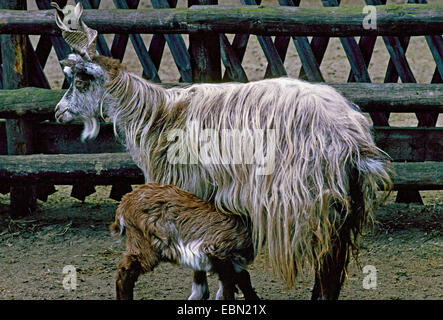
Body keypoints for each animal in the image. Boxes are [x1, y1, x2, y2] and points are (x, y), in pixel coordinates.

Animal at [53, 2, 392, 298]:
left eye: (81, 80)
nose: (58, 112)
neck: (158, 115)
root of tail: (353, 139)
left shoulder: (190, 187)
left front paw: (203, 291)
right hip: (346, 206)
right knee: (335, 266)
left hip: (312, 203)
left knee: (326, 263)